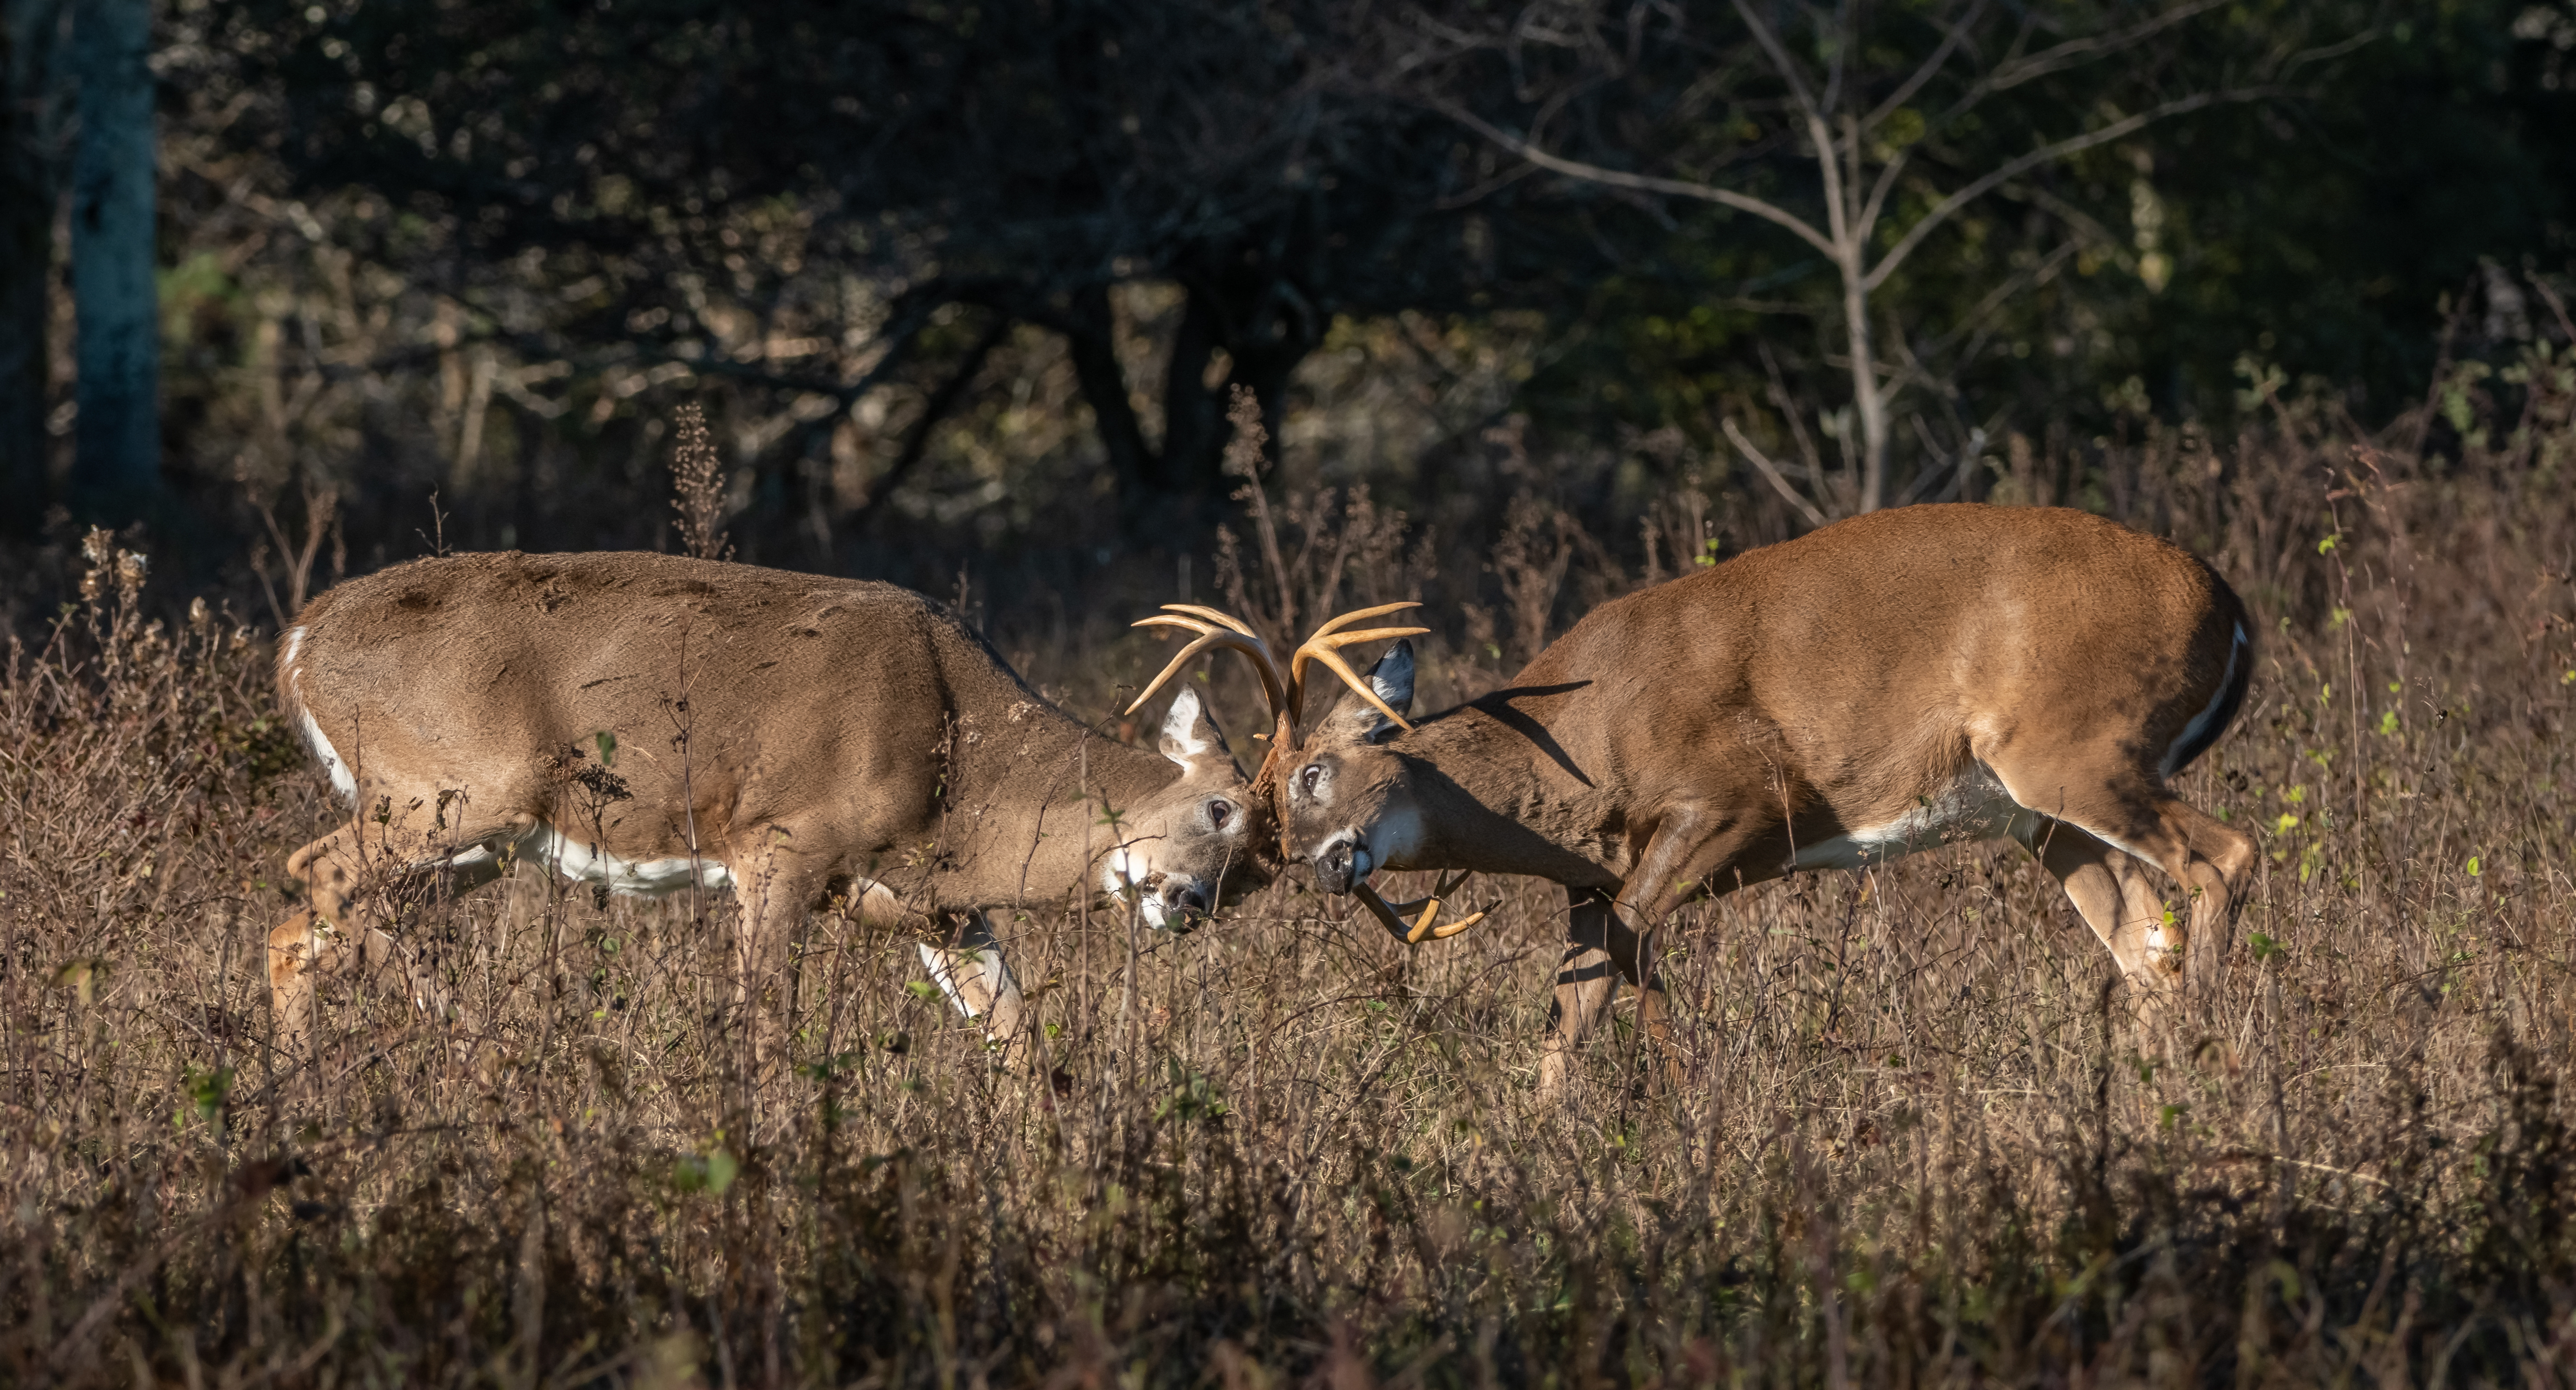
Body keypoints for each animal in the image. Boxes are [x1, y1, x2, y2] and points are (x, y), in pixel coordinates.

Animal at [266, 549, 1293, 1070]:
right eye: (1218, 808)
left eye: (1260, 876)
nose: (1187, 903)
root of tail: (300, 639)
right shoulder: (783, 841)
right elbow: (764, 1022)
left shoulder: (936, 903)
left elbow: (1014, 1035)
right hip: (450, 790)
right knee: (317, 875)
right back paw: (467, 1043)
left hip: (477, 837)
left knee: (306, 924)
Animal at [1130, 505, 2258, 1100]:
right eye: (1263, 831)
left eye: (1312, 775)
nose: (1325, 865)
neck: (1580, 748)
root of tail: (2229, 601)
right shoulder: (1597, 868)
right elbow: (1586, 986)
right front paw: (1566, 1123)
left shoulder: (1736, 798)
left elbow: (1621, 947)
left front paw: (1665, 1095)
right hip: (2041, 813)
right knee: (2144, 941)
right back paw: (2157, 1085)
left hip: (2078, 743)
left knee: (2226, 856)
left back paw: (2212, 1063)